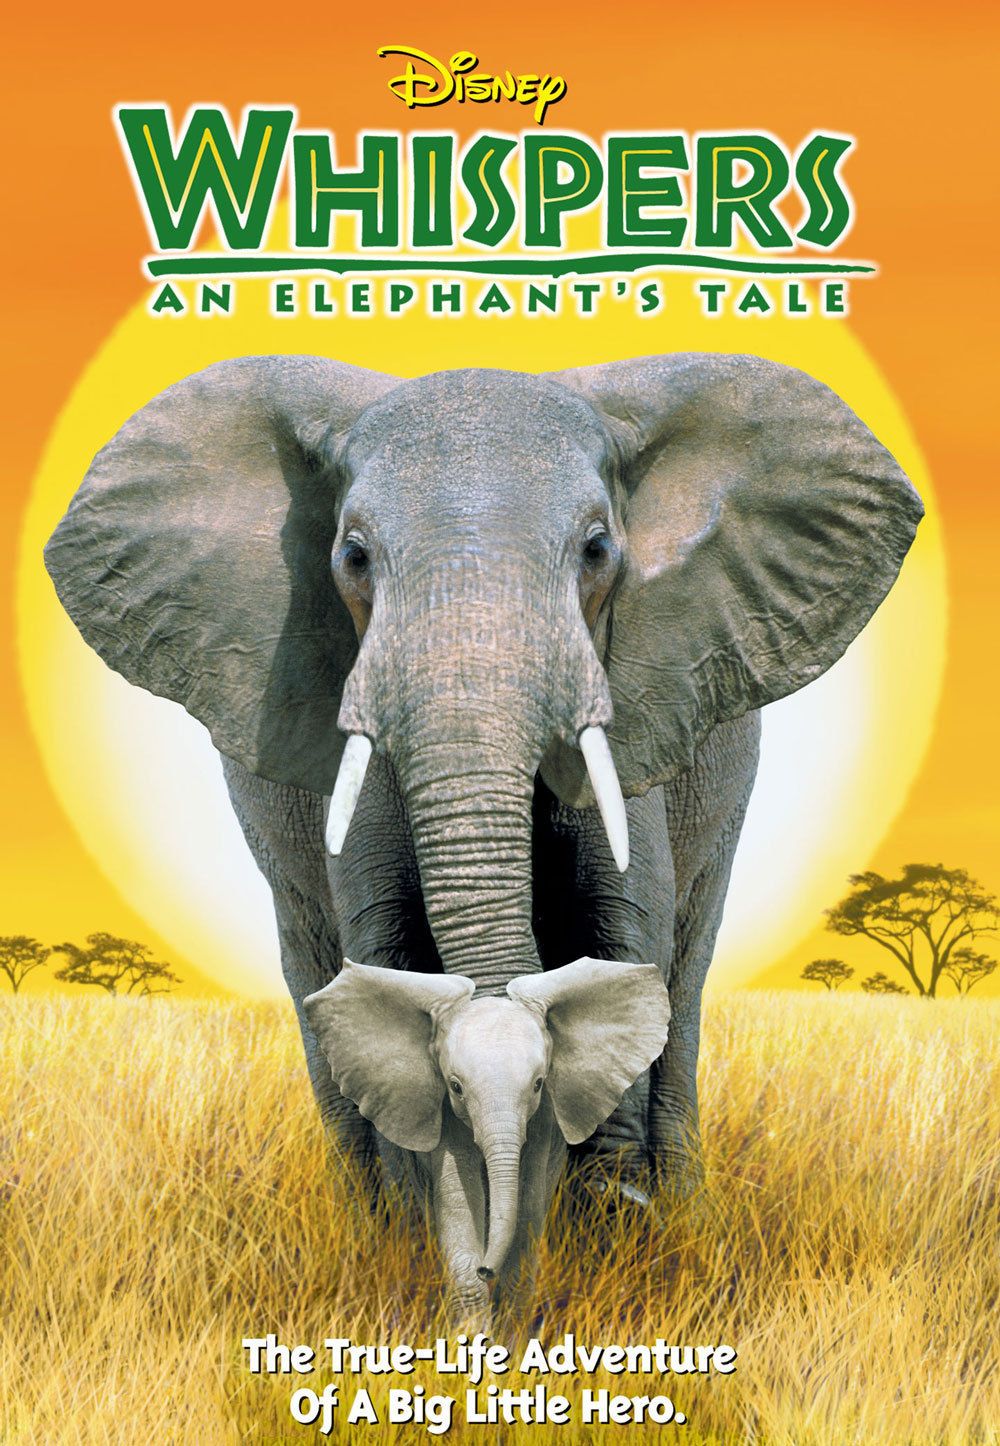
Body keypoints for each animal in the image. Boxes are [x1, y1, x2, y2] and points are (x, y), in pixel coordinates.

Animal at [43, 351, 922, 1321]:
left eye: (597, 551)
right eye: (352, 558)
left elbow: (626, 943)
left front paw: (611, 1238)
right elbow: (387, 962)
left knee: (685, 976)